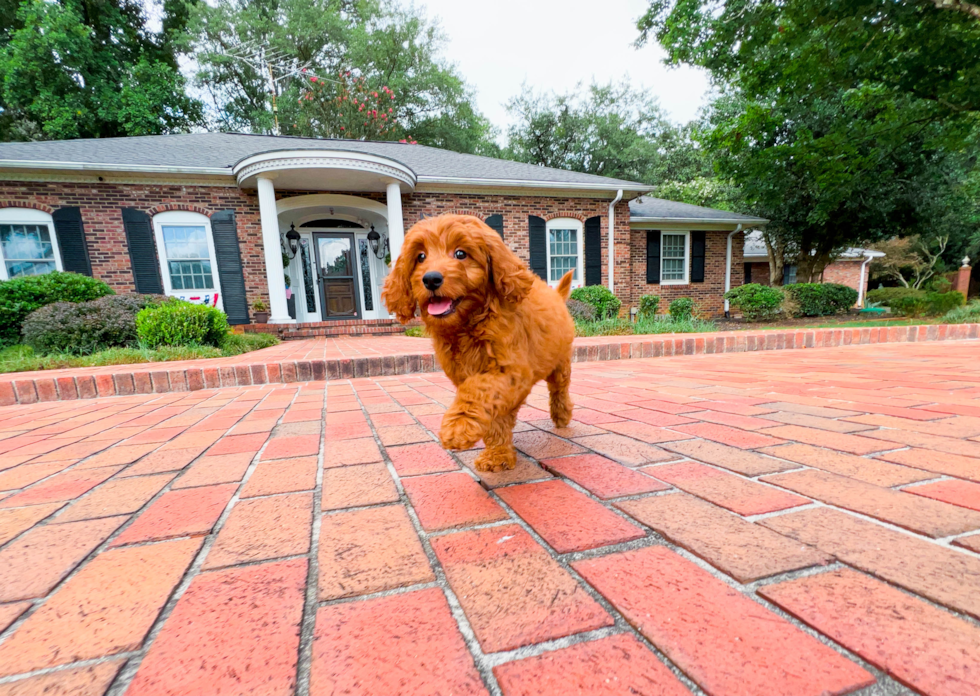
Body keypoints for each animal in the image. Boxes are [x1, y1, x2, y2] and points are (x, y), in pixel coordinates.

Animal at [380, 215, 576, 470]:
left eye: (461, 253)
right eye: (420, 256)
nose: (431, 279)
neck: (467, 325)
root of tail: (557, 296)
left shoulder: (510, 370)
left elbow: (476, 390)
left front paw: (458, 427)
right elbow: (493, 415)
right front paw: (497, 454)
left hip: (560, 362)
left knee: (559, 388)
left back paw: (562, 415)